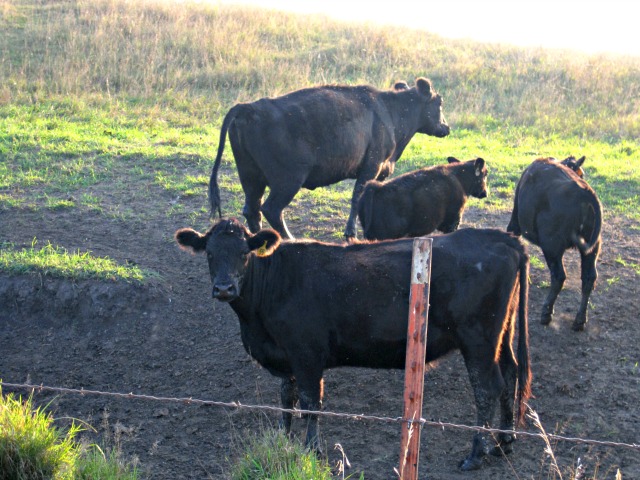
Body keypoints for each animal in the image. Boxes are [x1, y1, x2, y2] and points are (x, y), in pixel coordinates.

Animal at [175, 218, 531, 471]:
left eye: (244, 254)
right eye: (209, 254)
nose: (224, 288)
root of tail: (505, 238)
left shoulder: (307, 354)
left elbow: (311, 402)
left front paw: (312, 450)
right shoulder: (286, 356)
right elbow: (286, 399)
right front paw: (282, 438)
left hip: (478, 338)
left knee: (487, 387)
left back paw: (476, 453)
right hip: (501, 333)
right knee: (511, 373)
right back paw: (505, 442)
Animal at [208, 78, 450, 241]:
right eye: (439, 102)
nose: (446, 127)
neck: (390, 112)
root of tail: (249, 107)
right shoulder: (371, 166)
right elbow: (357, 197)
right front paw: (351, 233)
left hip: (251, 176)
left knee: (253, 209)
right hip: (288, 180)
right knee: (271, 209)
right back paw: (289, 239)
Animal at [507, 156, 602, 331]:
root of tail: (584, 193)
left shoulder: (515, 223)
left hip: (551, 248)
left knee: (559, 276)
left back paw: (546, 313)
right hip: (592, 248)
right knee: (589, 278)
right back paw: (579, 320)